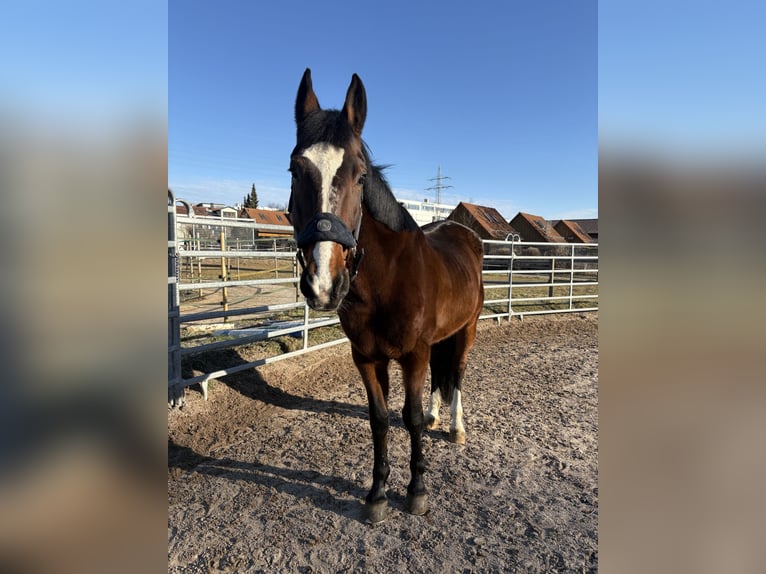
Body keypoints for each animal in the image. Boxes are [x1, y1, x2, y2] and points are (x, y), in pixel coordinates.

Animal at [288, 70, 486, 524]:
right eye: (294, 169)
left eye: (360, 175)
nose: (324, 284)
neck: (386, 282)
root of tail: (465, 233)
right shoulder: (366, 358)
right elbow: (379, 419)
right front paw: (377, 494)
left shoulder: (413, 354)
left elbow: (408, 418)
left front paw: (416, 491)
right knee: (439, 380)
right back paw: (435, 415)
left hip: (466, 330)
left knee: (457, 375)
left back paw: (455, 426)